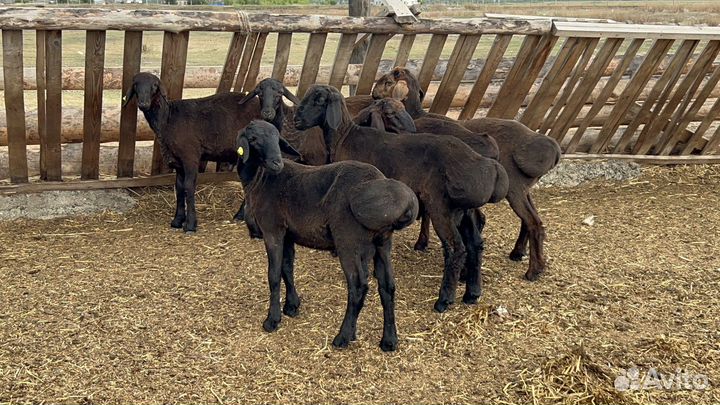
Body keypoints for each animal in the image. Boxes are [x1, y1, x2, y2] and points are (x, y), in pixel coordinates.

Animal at [123, 72, 260, 233]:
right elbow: (179, 188)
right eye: (136, 85)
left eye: (154, 85)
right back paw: (241, 215)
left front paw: (190, 224)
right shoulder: (178, 162)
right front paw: (177, 220)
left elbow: (189, 186)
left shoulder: (190, 156)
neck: (168, 118)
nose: (143, 104)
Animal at [235, 120, 419, 351]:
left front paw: (272, 320)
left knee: (358, 286)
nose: (277, 163)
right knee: (388, 286)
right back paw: (389, 340)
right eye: (254, 139)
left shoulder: (272, 230)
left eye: (277, 139)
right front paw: (292, 306)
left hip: (348, 240)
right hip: (382, 242)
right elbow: (287, 268)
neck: (260, 179)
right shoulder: (288, 234)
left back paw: (343, 336)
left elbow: (274, 275)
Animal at [294, 84, 509, 313]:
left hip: (441, 207)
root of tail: (485, 165)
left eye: (319, 101)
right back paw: (472, 293)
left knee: (456, 248)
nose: (296, 120)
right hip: (463, 209)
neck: (344, 137)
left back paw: (444, 300)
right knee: (475, 243)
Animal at [372, 67, 562, 281]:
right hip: (522, 187)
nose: (374, 94)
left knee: (531, 221)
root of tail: (549, 147)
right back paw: (518, 254)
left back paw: (533, 270)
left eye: (388, 82)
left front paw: (421, 242)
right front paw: (423, 242)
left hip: (513, 188)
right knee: (529, 220)